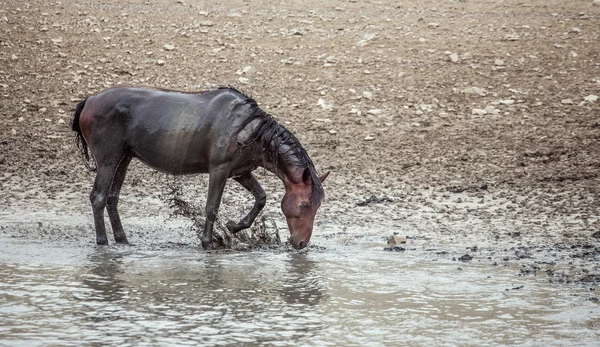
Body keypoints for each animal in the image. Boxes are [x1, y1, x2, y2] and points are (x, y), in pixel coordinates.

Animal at [72, 86, 330, 250]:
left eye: (317, 206)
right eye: (305, 205)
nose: (301, 244)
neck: (248, 129)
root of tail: (89, 101)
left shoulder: (240, 172)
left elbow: (261, 197)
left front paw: (234, 227)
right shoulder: (219, 170)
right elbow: (212, 207)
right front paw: (208, 242)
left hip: (123, 159)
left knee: (112, 198)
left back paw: (122, 239)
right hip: (108, 160)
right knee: (98, 197)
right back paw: (103, 241)